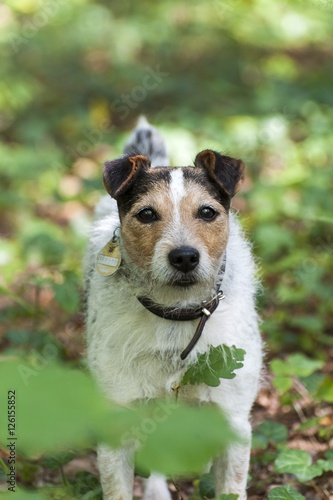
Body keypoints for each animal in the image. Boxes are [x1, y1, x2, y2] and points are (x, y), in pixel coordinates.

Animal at [83, 118, 262, 500]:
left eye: (207, 212)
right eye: (147, 213)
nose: (184, 256)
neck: (177, 315)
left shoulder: (232, 420)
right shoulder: (118, 422)